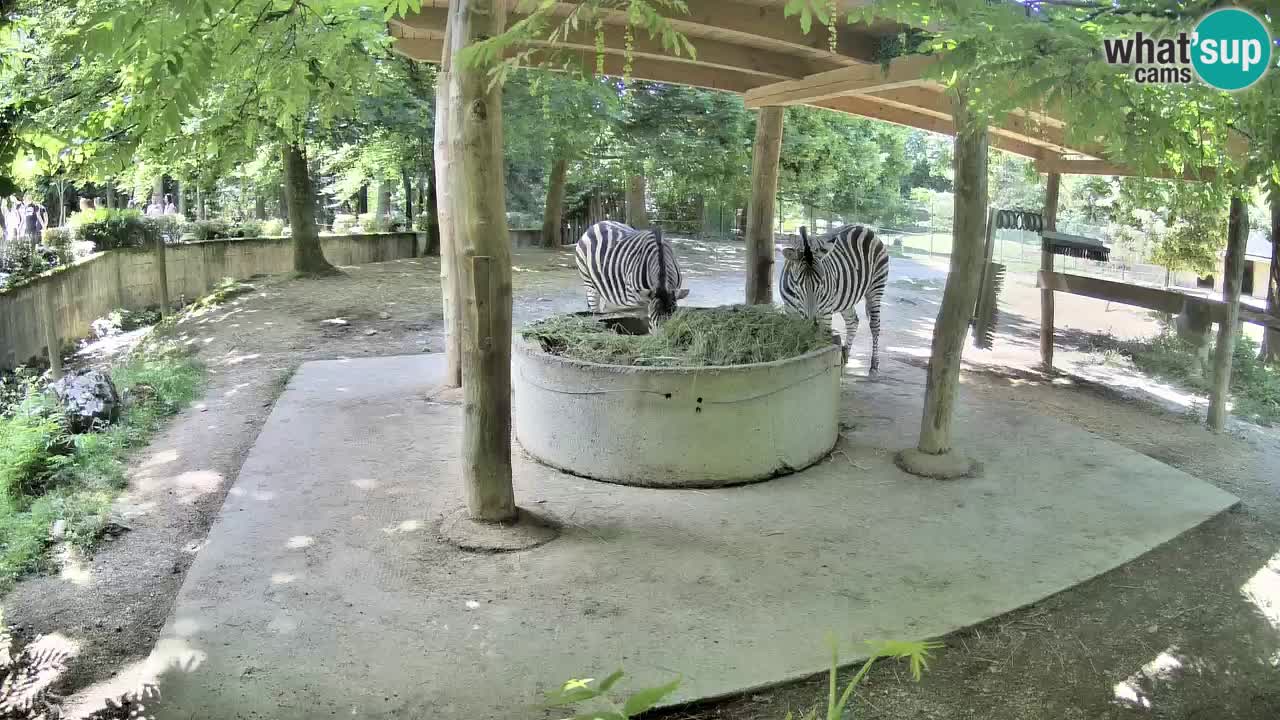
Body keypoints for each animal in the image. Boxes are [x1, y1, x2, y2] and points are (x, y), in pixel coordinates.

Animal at [779, 224, 889, 372]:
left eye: (822, 283)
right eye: (798, 283)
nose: (813, 323)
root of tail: (864, 228)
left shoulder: (825, 312)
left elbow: (823, 342)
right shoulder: (790, 311)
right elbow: (796, 335)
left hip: (876, 288)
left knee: (875, 325)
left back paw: (874, 364)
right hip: (847, 297)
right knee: (853, 321)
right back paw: (845, 356)